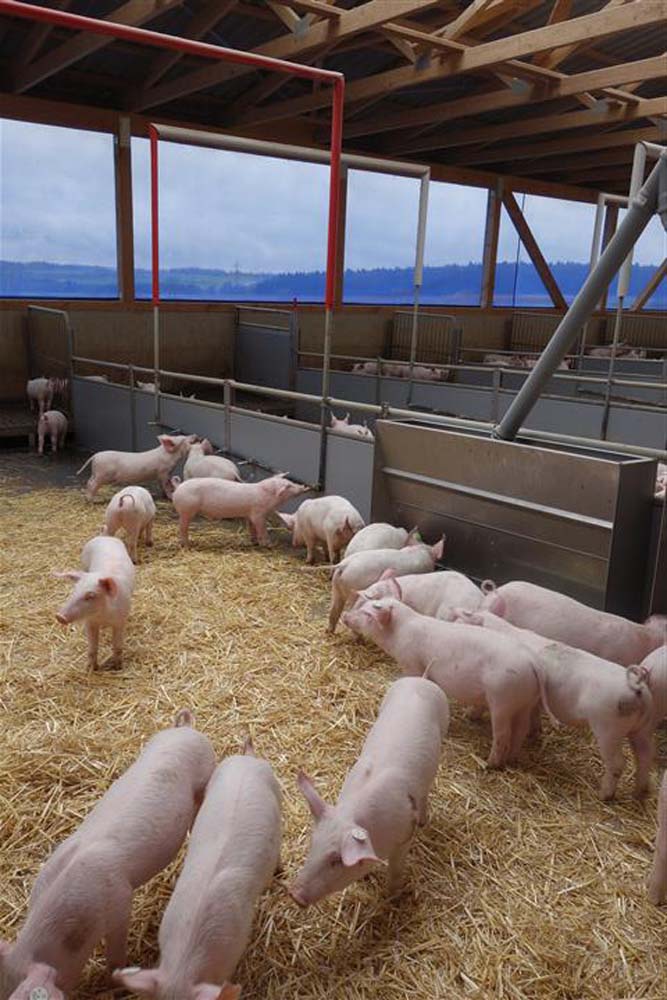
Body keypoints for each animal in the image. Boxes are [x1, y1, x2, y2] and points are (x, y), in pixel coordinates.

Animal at [54, 535, 136, 670]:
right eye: (75, 589)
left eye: (91, 596)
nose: (59, 616)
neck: (102, 617)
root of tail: (105, 536)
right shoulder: (90, 623)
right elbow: (92, 648)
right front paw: (91, 669)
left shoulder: (120, 621)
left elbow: (117, 646)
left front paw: (118, 667)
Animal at [172, 473, 309, 548]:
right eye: (288, 486)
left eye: (289, 482)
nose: (303, 487)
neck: (268, 497)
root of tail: (178, 487)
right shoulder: (258, 513)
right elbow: (261, 527)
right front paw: (268, 544)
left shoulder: (249, 514)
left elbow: (251, 527)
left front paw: (254, 542)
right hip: (186, 510)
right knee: (182, 527)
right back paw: (187, 544)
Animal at [289, 676, 448, 907]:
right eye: (313, 844)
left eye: (336, 860)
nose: (294, 894)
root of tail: (421, 679)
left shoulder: (404, 837)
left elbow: (396, 869)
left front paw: (393, 898)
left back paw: (424, 821)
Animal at [342, 598, 540, 769]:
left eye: (368, 614)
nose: (345, 615)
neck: (399, 633)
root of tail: (531, 663)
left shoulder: (411, 662)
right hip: (524, 703)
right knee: (521, 730)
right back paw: (508, 756)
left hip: (502, 700)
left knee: (503, 734)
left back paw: (489, 764)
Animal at [453, 608, 655, 799]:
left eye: (460, 621)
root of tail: (637, 687)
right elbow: (533, 716)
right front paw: (534, 734)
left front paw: (469, 716)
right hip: (641, 728)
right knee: (645, 756)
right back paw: (639, 792)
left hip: (608, 728)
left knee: (618, 763)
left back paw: (604, 795)